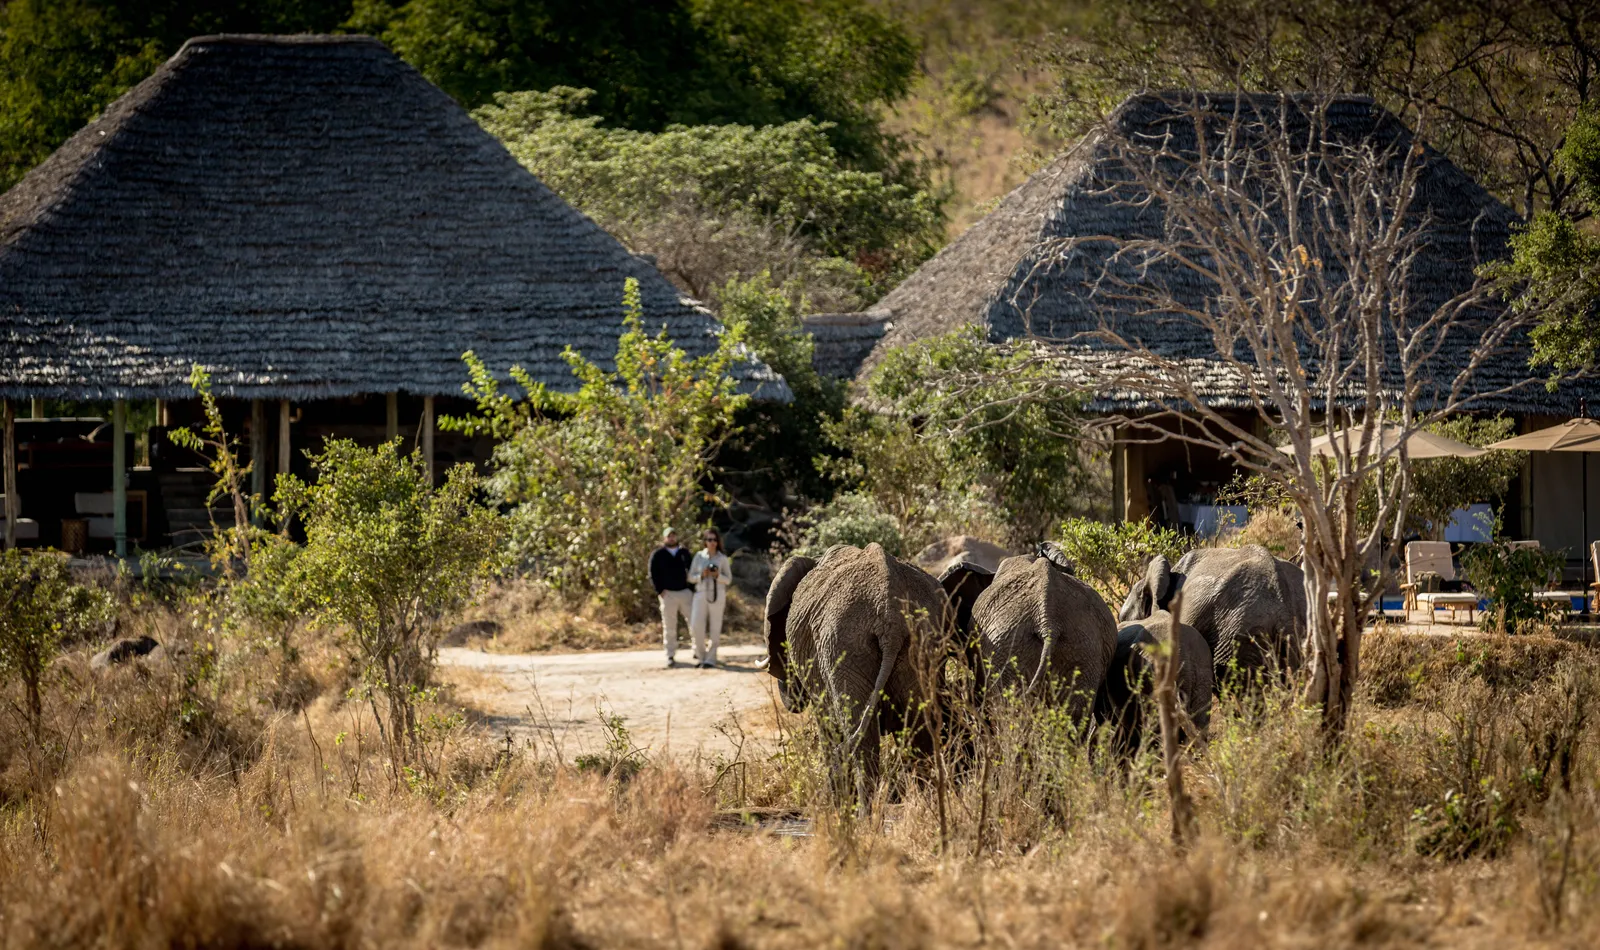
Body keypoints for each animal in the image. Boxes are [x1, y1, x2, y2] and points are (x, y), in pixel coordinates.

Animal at [764, 543, 954, 801]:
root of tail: (891, 619)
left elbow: (828, 728)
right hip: (923, 644)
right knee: (919, 730)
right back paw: (927, 804)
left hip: (842, 646)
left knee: (862, 738)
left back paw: (861, 810)